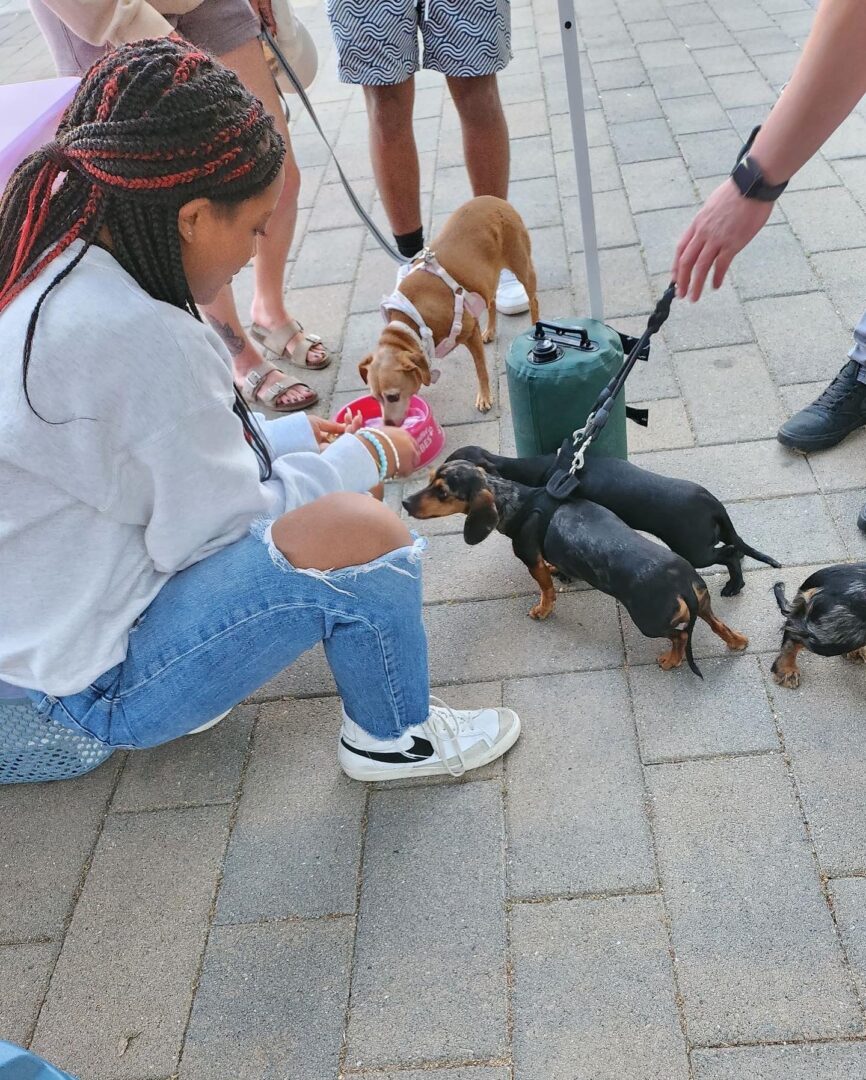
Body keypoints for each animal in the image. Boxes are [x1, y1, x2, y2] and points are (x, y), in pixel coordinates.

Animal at [359, 196, 539, 426]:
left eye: (393, 396)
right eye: (375, 398)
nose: (387, 426)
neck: (412, 323)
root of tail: (494, 199)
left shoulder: (470, 332)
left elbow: (481, 369)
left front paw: (485, 397)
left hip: (522, 267)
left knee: (533, 301)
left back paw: (535, 327)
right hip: (486, 279)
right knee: (491, 301)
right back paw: (490, 331)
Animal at [403, 461, 750, 676]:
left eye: (442, 492)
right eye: (429, 479)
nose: (405, 504)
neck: (518, 501)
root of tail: (681, 581)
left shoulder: (530, 559)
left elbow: (545, 588)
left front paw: (543, 609)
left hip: (649, 623)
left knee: (680, 636)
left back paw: (671, 660)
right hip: (702, 603)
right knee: (717, 623)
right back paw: (737, 641)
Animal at [446, 445, 780, 596]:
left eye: (448, 476)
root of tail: (710, 500)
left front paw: (563, 575)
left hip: (694, 550)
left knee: (729, 554)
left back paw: (734, 585)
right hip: (706, 541)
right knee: (734, 549)